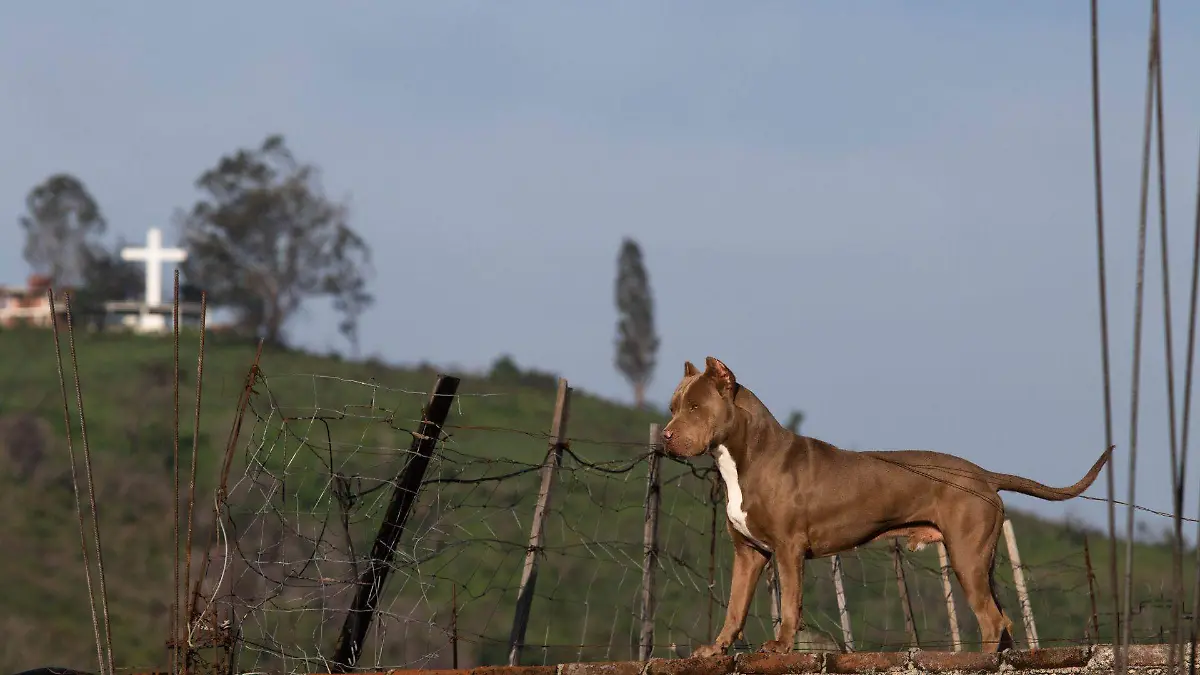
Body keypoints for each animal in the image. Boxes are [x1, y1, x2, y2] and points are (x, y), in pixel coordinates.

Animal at [662, 357, 1108, 653]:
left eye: (695, 407)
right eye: (672, 407)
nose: (664, 436)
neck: (745, 457)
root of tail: (984, 475)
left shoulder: (789, 550)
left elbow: (790, 603)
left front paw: (781, 645)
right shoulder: (748, 553)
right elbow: (734, 607)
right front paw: (716, 649)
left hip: (966, 557)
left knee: (992, 620)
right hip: (981, 560)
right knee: (1003, 619)